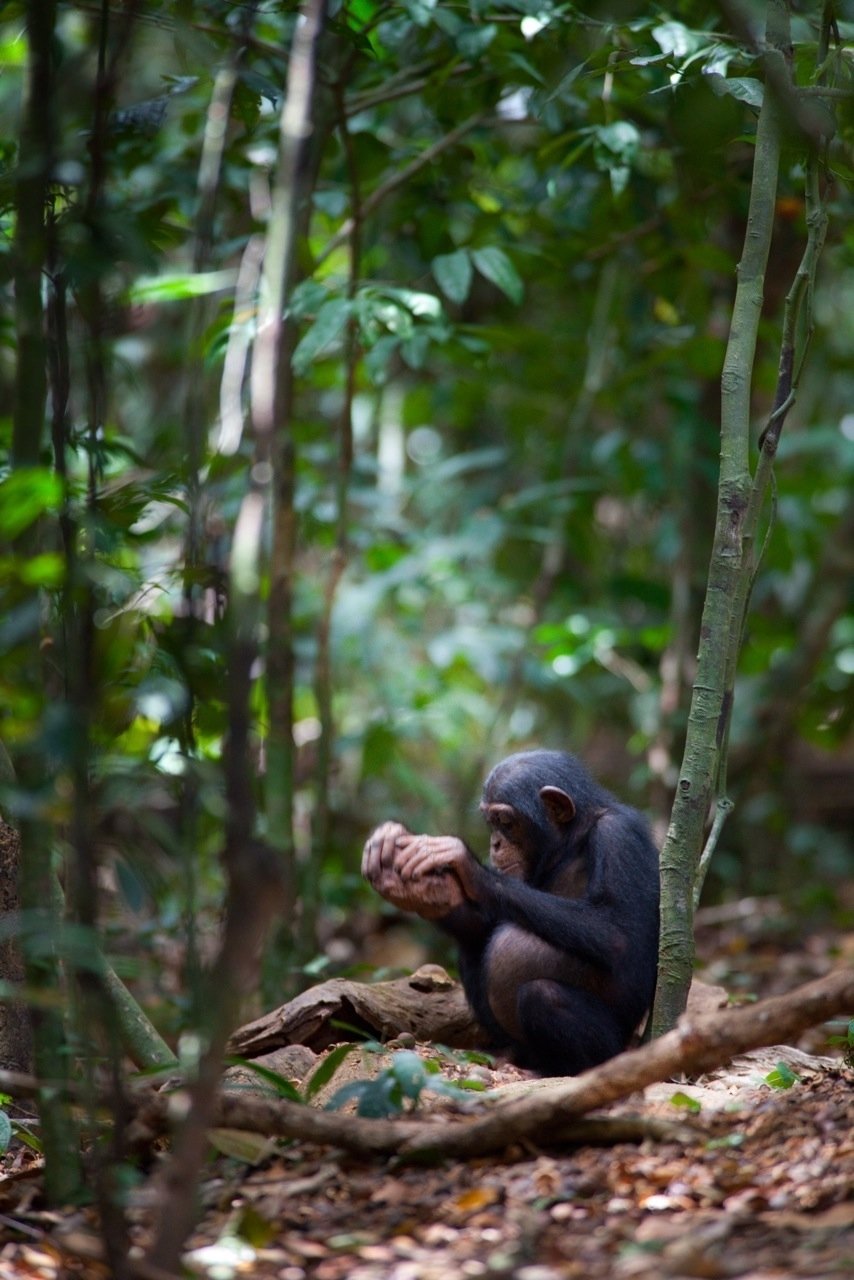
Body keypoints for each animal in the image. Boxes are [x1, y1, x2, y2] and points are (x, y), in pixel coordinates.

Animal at [361, 747, 660, 1080]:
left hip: (615, 1047)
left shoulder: (619, 836)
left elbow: (617, 935)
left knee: (542, 995)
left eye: (505, 821)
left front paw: (465, 864)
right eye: (490, 822)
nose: (495, 843)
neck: (570, 842)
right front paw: (427, 890)